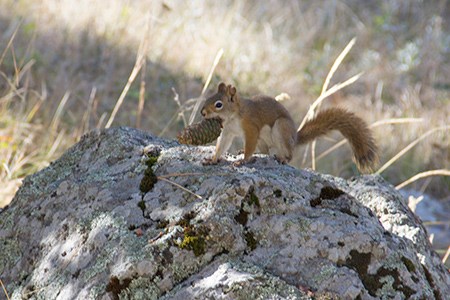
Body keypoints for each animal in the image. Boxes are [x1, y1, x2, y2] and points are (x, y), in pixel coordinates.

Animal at [200, 82, 376, 172]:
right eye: (208, 98)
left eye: (218, 104)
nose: (202, 112)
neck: (233, 116)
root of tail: (294, 138)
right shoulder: (227, 131)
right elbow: (221, 146)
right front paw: (213, 159)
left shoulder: (251, 127)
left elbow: (249, 144)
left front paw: (242, 161)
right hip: (264, 140)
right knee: (265, 152)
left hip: (280, 128)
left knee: (288, 154)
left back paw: (282, 158)